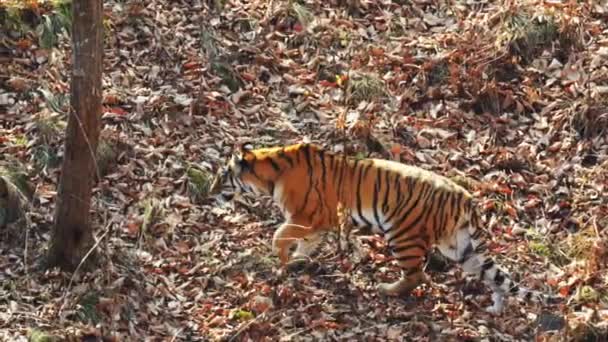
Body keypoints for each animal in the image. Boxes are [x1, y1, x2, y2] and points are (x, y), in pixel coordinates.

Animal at [208, 142, 556, 316]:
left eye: (223, 174)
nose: (209, 190)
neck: (270, 172)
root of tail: (467, 198)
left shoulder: (307, 216)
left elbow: (280, 234)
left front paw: (281, 259)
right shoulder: (320, 222)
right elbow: (306, 243)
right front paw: (296, 263)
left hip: (403, 235)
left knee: (417, 276)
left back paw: (386, 289)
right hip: (462, 249)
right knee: (496, 276)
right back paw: (496, 307)